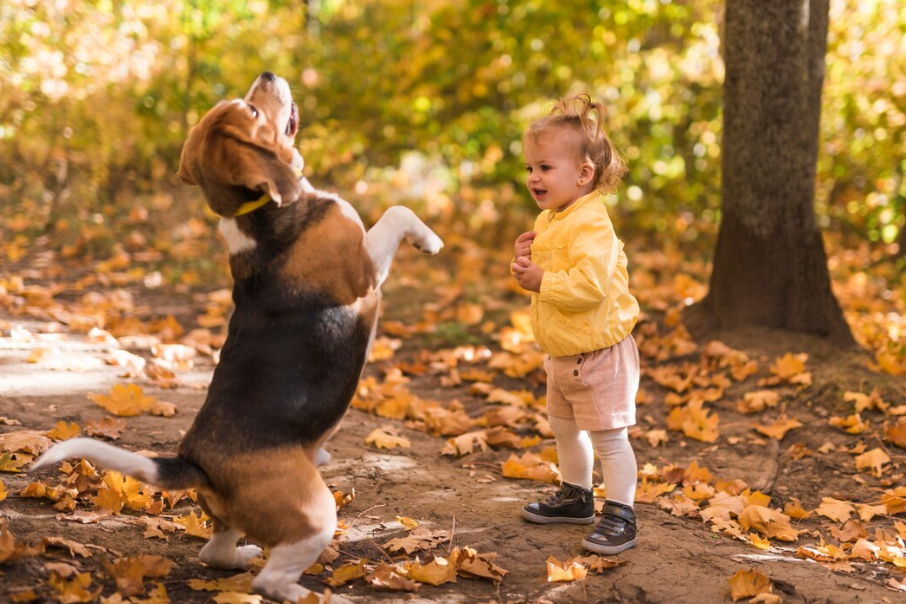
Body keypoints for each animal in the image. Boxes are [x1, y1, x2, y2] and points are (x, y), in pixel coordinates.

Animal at [33, 72, 444, 604]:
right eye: (251, 112)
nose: (267, 75)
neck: (259, 214)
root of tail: (196, 461)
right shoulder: (364, 272)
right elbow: (397, 211)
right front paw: (429, 239)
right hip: (316, 513)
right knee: (272, 580)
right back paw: (313, 594)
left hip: (231, 518)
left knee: (215, 552)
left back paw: (241, 555)